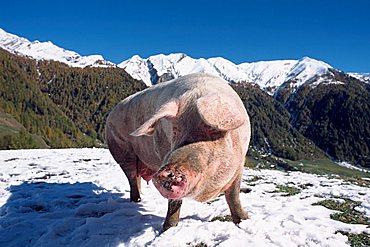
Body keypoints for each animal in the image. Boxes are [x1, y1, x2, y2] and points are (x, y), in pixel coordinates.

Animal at [105, 73, 250, 232]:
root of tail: (110, 113)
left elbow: (233, 196)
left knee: (136, 178)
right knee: (131, 177)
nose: (169, 171)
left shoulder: (240, 164)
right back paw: (136, 201)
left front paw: (244, 221)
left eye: (212, 130)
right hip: (121, 151)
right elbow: (174, 203)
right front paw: (167, 229)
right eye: (175, 131)